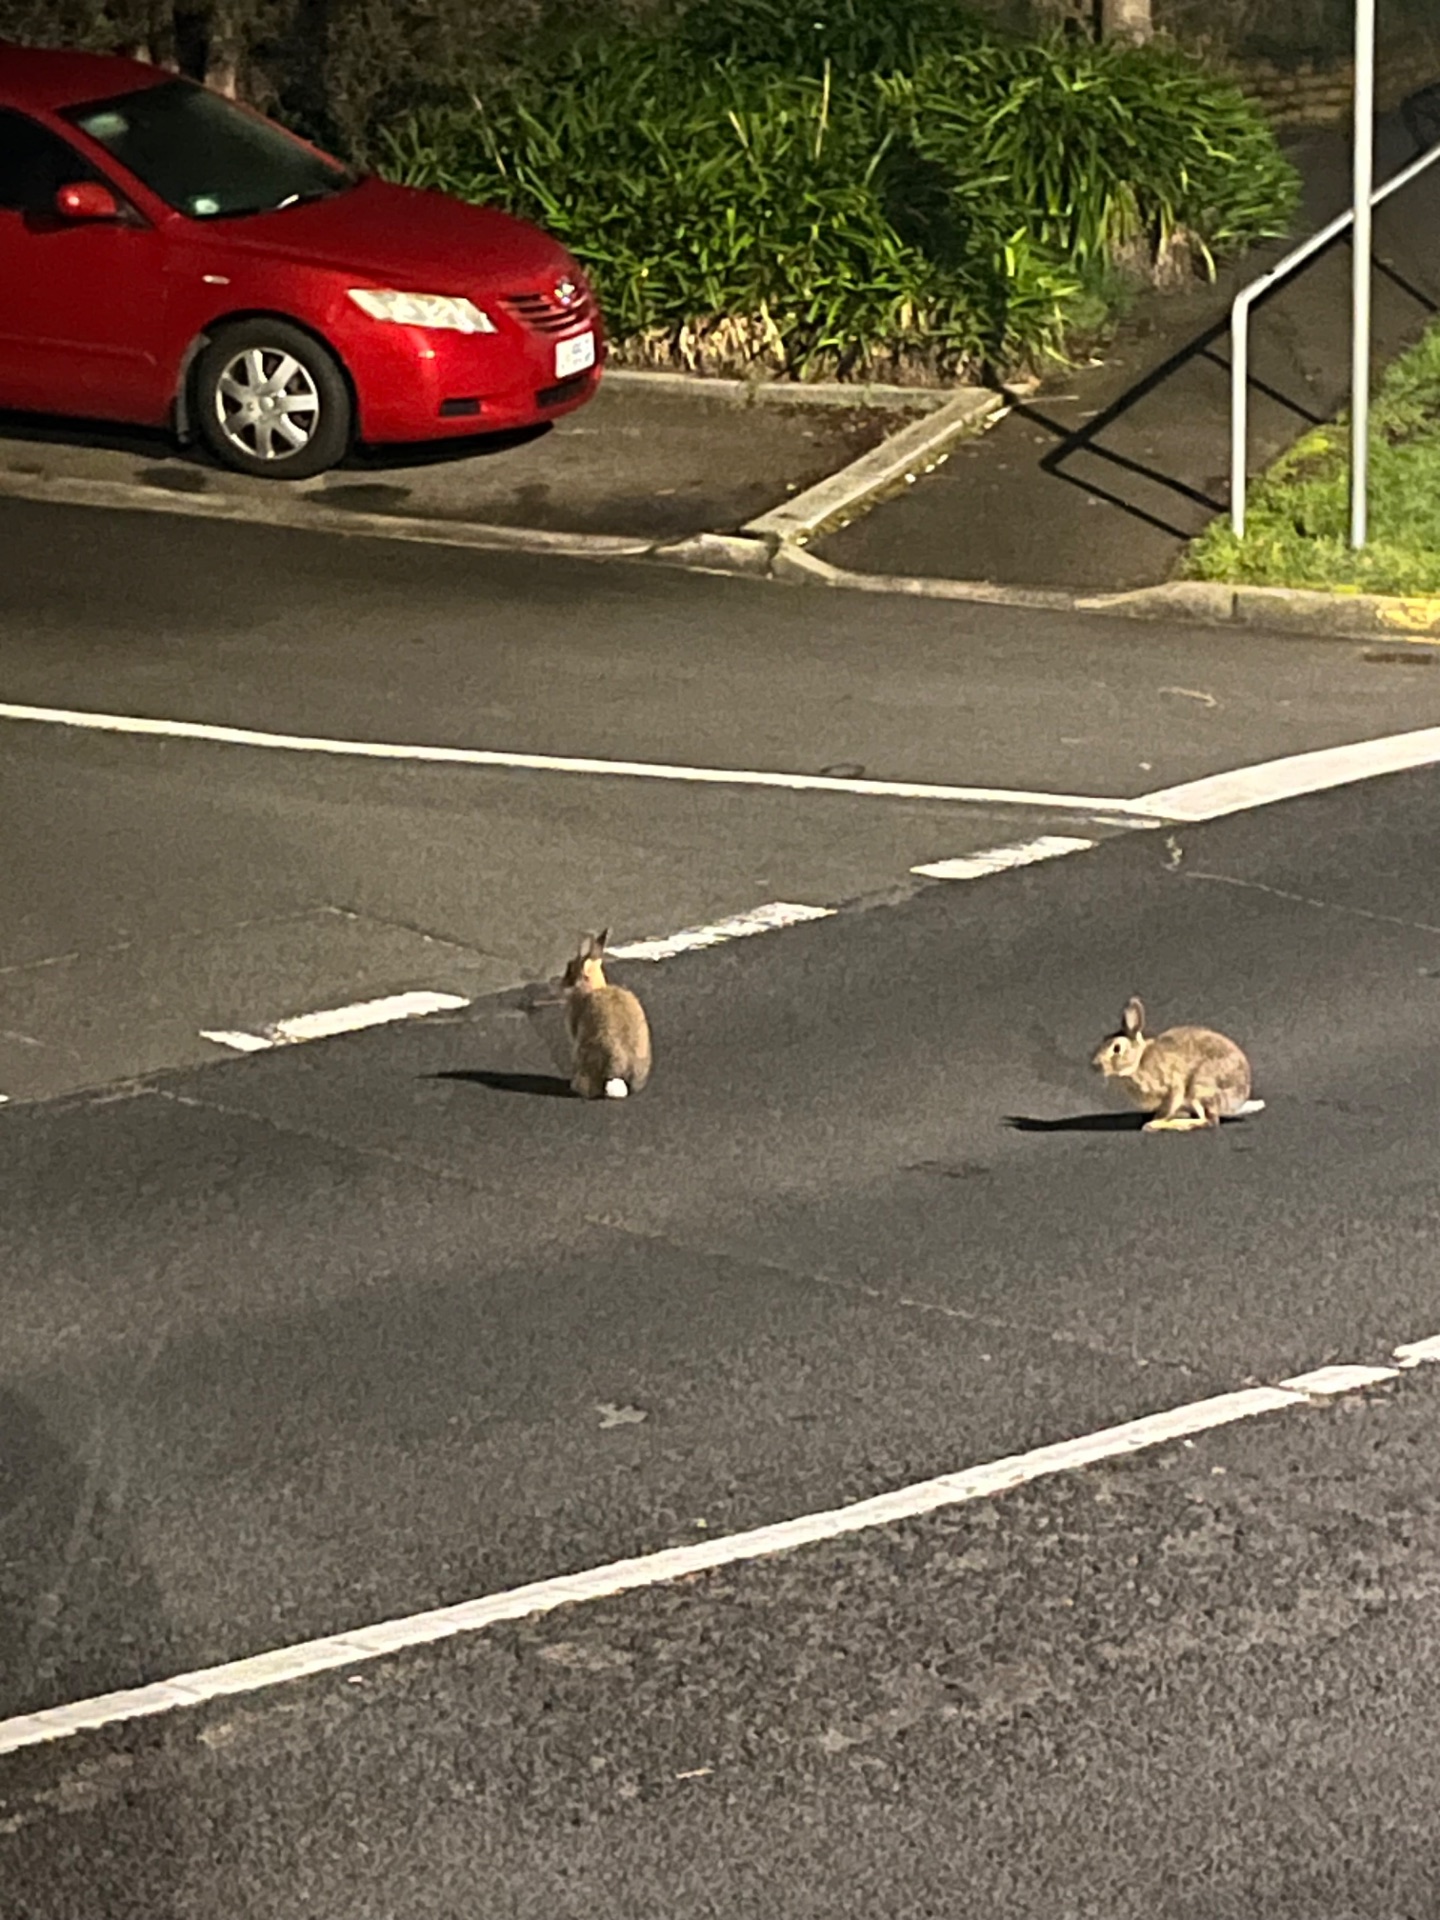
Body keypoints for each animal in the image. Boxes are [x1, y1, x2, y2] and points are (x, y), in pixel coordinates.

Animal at [1092, 995, 1263, 1131]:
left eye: (1117, 1048)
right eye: (1103, 1039)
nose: (1094, 1065)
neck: (1138, 1062)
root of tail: (1237, 1103)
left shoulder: (1172, 1086)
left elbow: (1168, 1105)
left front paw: (1153, 1122)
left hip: (1200, 1088)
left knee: (1209, 1121)